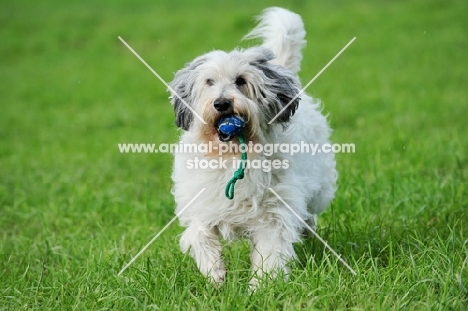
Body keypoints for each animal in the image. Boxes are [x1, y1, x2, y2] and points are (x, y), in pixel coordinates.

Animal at [168, 7, 336, 288]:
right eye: (209, 81)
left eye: (241, 80)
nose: (222, 103)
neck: (230, 156)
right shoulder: (201, 203)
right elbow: (198, 235)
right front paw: (215, 272)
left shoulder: (274, 212)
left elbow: (271, 250)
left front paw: (261, 287)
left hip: (318, 187)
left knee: (309, 213)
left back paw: (307, 228)